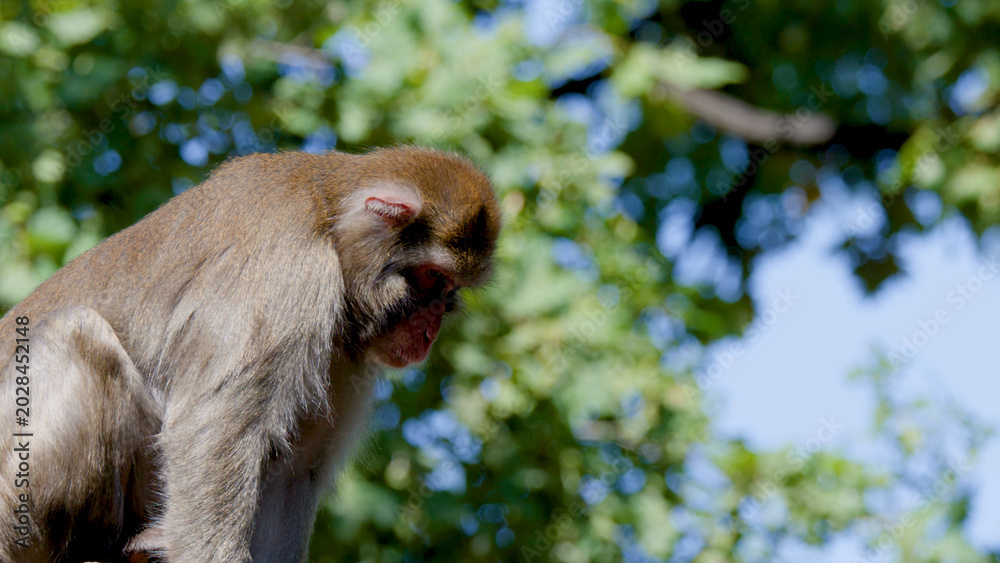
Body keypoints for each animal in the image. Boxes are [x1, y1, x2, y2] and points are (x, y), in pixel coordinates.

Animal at [0, 146, 502, 562]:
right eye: (432, 277)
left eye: (451, 291)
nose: (431, 329)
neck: (330, 223)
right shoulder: (289, 269)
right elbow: (212, 433)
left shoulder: (341, 354)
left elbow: (293, 470)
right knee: (75, 334)